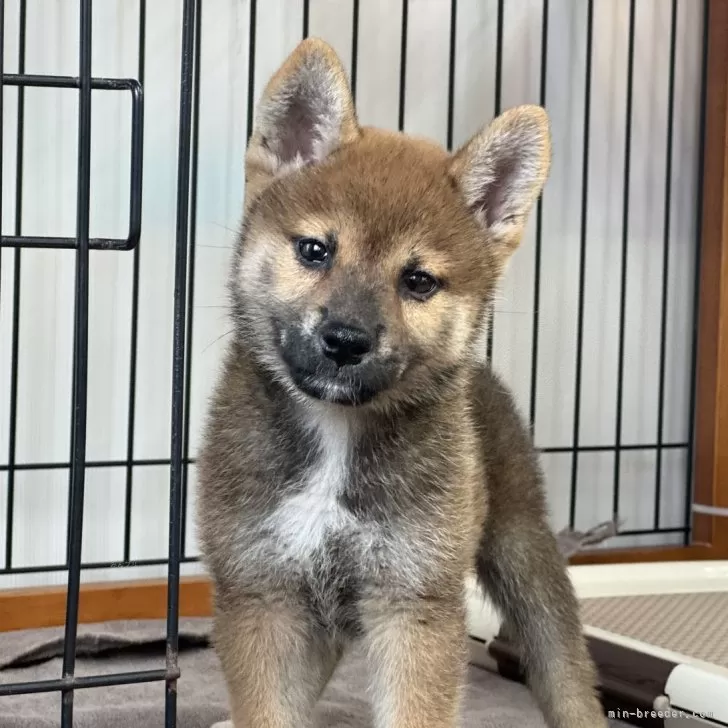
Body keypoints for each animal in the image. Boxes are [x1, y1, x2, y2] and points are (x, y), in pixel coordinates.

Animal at [196, 38, 604, 728]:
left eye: (418, 281)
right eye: (315, 250)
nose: (346, 340)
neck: (336, 436)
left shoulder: (415, 603)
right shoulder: (262, 592)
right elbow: (272, 707)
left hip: (523, 550)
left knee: (567, 671)